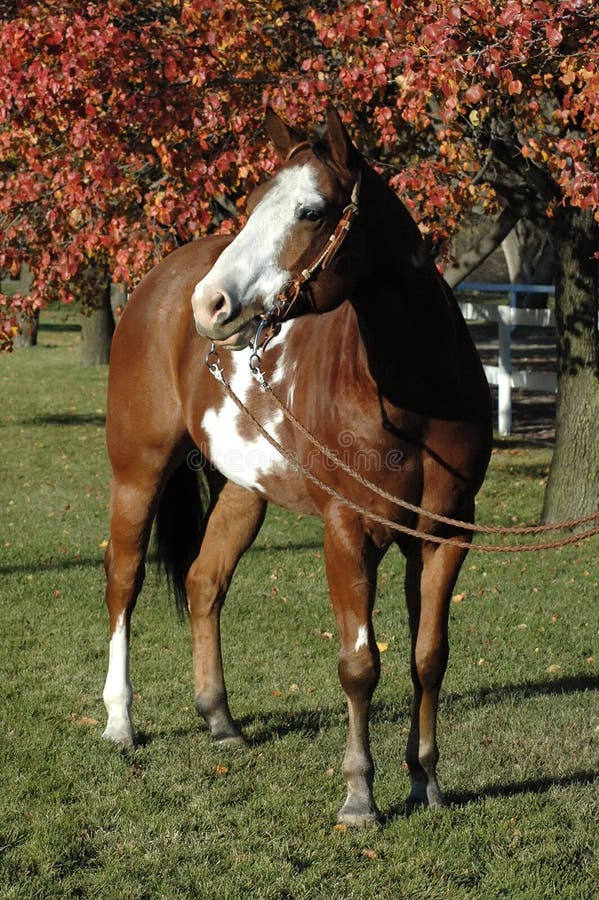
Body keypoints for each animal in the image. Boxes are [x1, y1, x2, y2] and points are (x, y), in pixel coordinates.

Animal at [102, 109, 492, 828]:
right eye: (253, 203)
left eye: (310, 211)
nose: (210, 305)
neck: (417, 394)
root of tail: (161, 281)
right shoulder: (347, 531)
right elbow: (359, 664)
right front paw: (359, 795)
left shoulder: (445, 536)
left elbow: (428, 658)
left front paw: (425, 780)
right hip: (137, 473)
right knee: (125, 581)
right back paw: (119, 721)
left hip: (241, 491)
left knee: (204, 584)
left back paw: (219, 719)